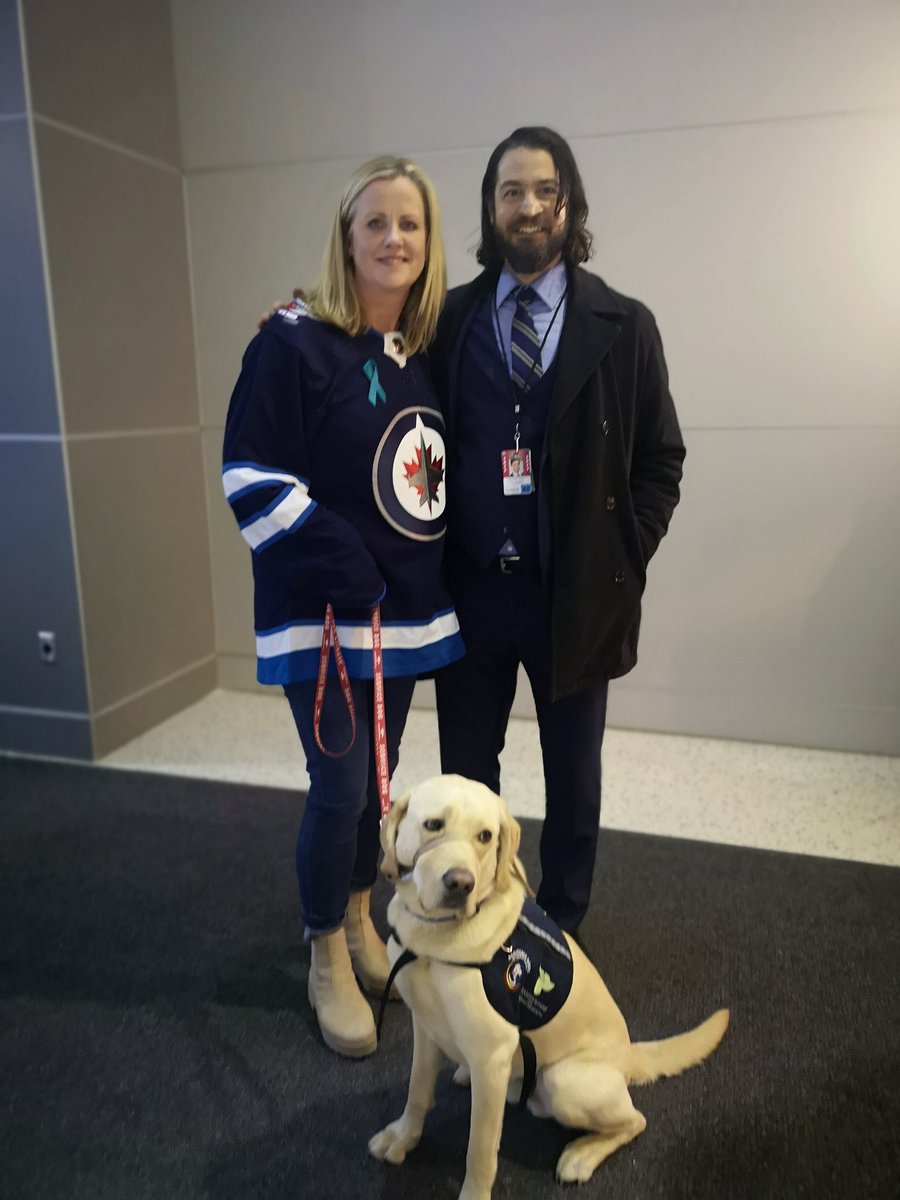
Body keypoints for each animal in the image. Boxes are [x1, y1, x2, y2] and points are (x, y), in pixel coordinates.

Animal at [369, 772, 729, 1200]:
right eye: (433, 825)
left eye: (485, 836)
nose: (460, 883)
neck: (432, 940)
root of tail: (628, 1055)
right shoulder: (425, 1027)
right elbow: (417, 1092)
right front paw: (403, 1137)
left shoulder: (492, 1054)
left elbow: (480, 1149)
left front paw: (474, 1192)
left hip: (564, 1081)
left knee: (635, 1120)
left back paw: (582, 1154)